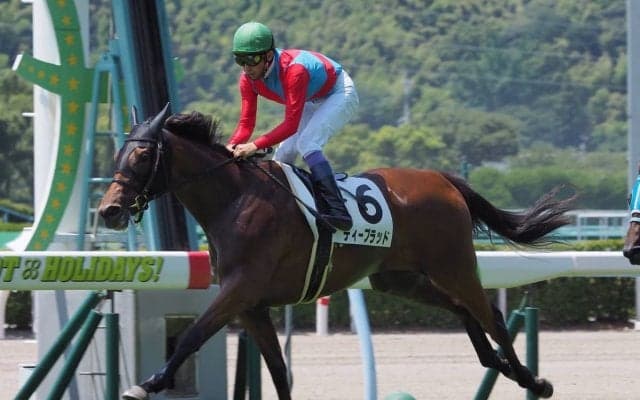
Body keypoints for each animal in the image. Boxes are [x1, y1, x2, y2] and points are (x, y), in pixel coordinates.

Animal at [98, 104, 575, 400]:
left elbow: (192, 336)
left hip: (453, 263)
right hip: (398, 279)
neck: (234, 200)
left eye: (142, 156)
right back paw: (497, 363)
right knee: (462, 309)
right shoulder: (252, 306)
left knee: (489, 313)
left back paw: (531, 378)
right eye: (118, 153)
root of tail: (443, 179)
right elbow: (278, 370)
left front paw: (146, 383)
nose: (109, 211)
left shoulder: (239, 290)